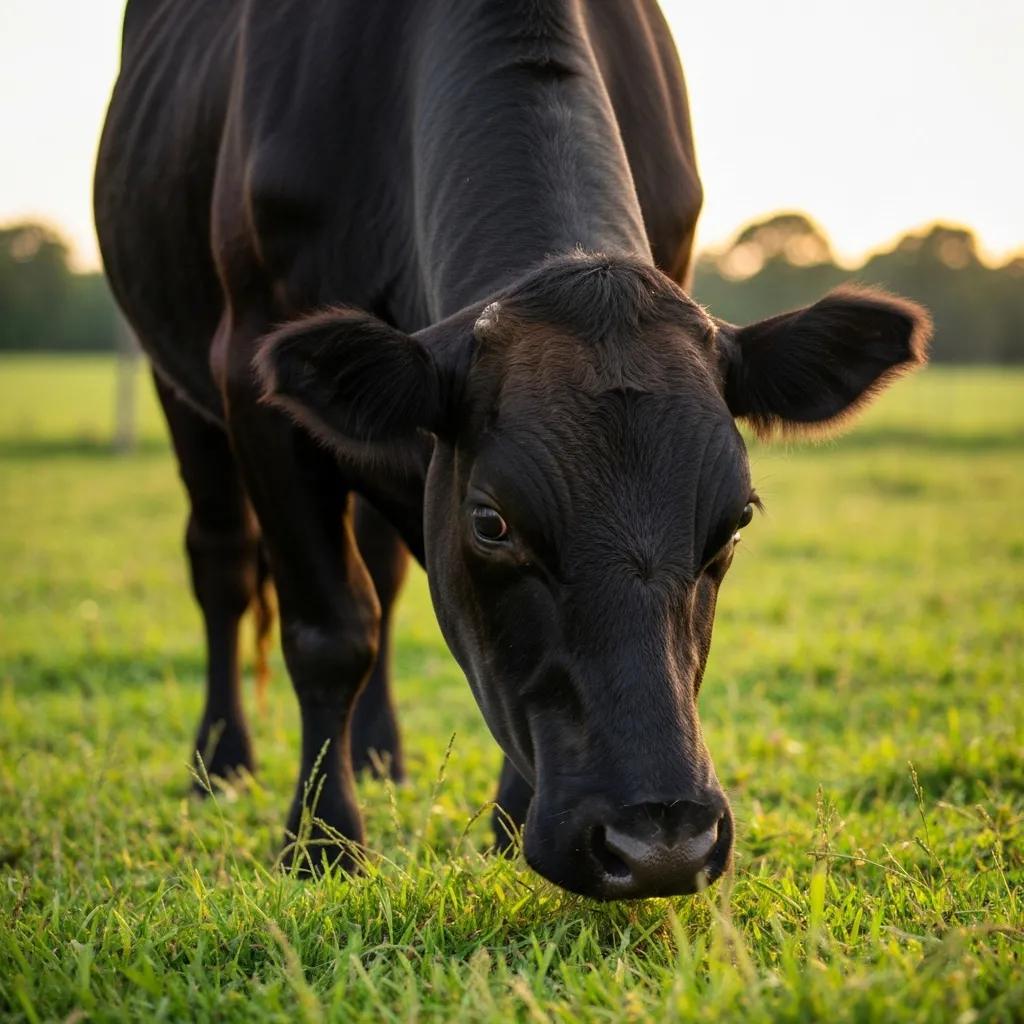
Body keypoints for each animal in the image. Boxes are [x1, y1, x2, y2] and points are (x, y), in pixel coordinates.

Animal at [95, 0, 929, 900]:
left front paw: (503, 825)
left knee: (382, 570)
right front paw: (323, 844)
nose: (661, 842)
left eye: (735, 522)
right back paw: (221, 763)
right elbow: (328, 629)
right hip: (178, 379)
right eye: (493, 523)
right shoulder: (252, 369)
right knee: (223, 564)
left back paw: (381, 754)